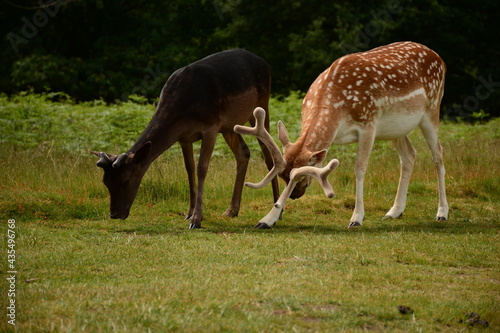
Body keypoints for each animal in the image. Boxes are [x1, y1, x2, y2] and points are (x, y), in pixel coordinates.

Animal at [91, 48, 280, 228]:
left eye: (126, 180)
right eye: (105, 182)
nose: (114, 214)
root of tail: (267, 65)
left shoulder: (210, 127)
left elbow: (201, 168)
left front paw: (196, 220)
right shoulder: (183, 137)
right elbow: (189, 168)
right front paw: (189, 213)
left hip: (261, 106)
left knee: (269, 156)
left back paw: (277, 211)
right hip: (229, 126)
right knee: (243, 153)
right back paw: (232, 210)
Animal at [234, 41, 450, 228]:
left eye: (302, 177)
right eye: (283, 177)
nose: (295, 195)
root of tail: (440, 58)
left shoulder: (368, 124)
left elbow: (360, 169)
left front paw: (356, 218)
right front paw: (266, 220)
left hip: (432, 108)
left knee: (438, 154)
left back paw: (442, 213)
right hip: (394, 129)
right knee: (409, 155)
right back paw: (394, 211)